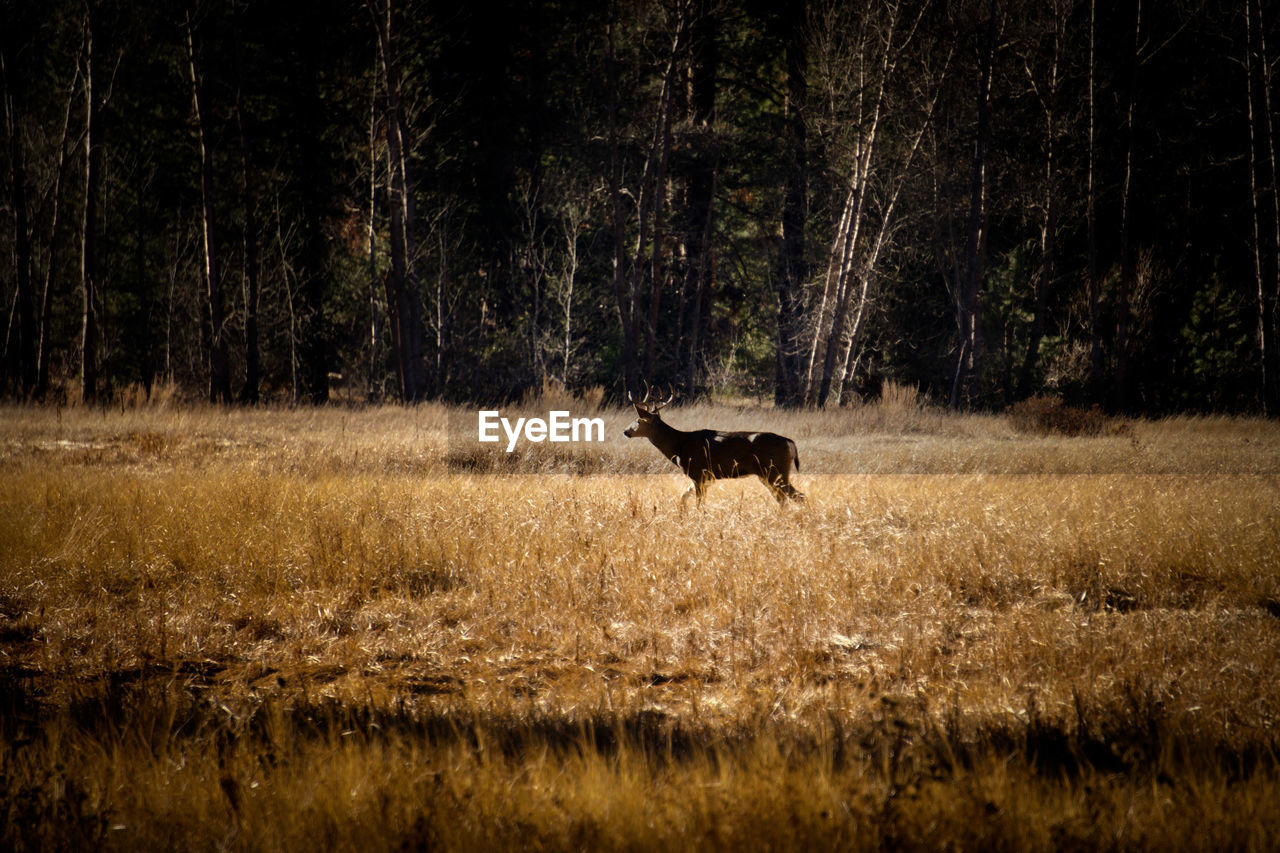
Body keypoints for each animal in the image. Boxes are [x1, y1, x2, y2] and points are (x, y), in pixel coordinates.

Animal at [624, 384, 803, 504]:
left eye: (638, 420)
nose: (626, 431)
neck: (679, 446)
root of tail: (790, 443)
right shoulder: (707, 478)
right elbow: (683, 497)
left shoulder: (698, 472)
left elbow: (699, 503)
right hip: (769, 474)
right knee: (786, 499)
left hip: (774, 470)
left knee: (796, 497)